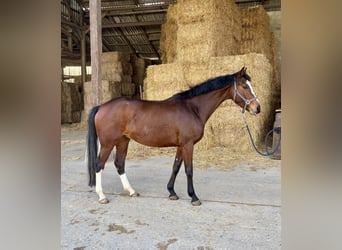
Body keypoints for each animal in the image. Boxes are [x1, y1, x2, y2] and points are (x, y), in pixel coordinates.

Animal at [87, 66, 260, 205]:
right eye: (245, 86)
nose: (257, 108)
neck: (192, 108)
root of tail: (101, 106)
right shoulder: (188, 145)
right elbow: (189, 169)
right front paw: (194, 197)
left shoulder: (181, 145)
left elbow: (176, 167)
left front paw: (172, 192)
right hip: (108, 143)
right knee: (99, 165)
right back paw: (102, 196)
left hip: (123, 141)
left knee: (119, 164)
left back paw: (131, 191)